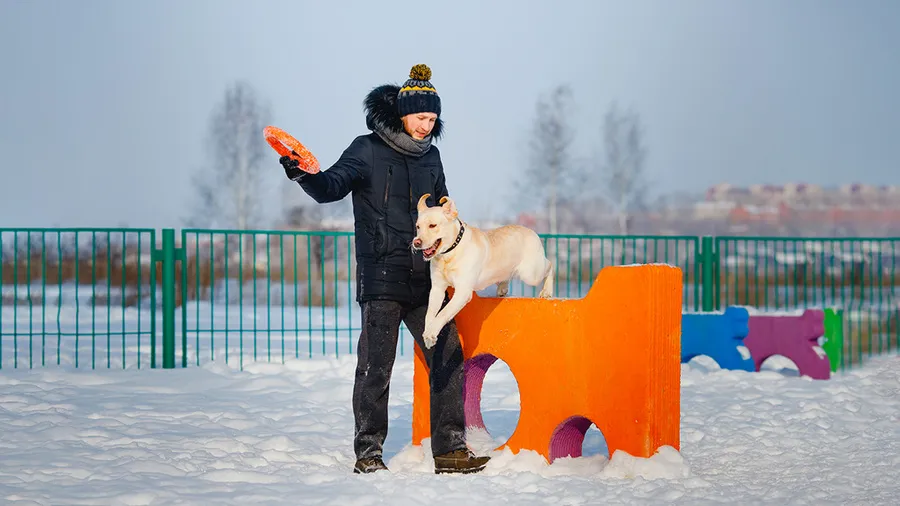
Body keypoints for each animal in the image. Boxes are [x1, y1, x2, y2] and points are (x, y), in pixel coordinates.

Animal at [412, 194, 552, 348]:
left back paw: (546, 291)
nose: (416, 242)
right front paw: (428, 334)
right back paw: (502, 288)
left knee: (550, 265)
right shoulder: (437, 288)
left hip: (531, 273)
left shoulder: (463, 291)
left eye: (432, 225)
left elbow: (443, 313)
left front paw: (431, 333)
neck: (449, 253)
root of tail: (532, 231)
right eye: (418, 226)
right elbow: (430, 314)